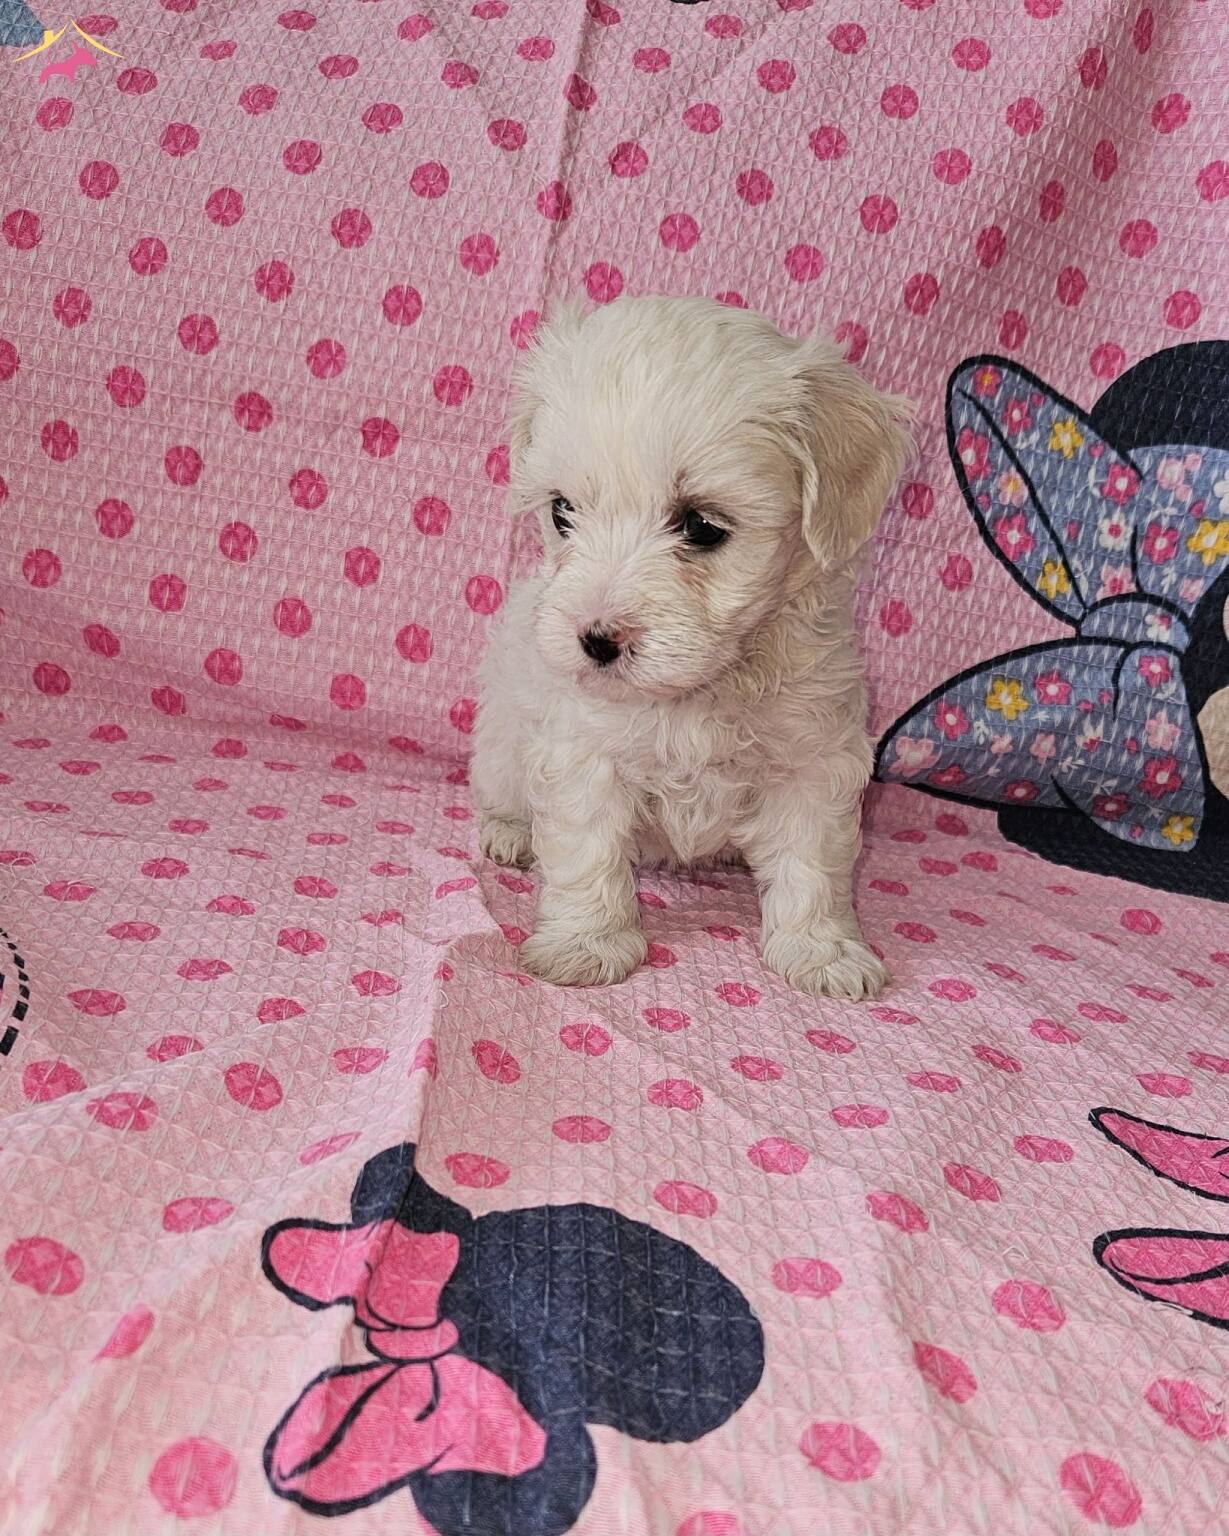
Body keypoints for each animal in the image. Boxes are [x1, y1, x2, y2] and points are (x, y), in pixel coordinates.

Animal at [472, 295, 911, 1000]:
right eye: (562, 512)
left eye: (702, 526)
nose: (595, 640)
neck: (701, 689)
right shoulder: (584, 748)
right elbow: (588, 848)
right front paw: (585, 945)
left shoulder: (814, 755)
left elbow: (812, 861)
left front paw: (822, 953)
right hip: (499, 741)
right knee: (501, 790)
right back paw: (509, 835)